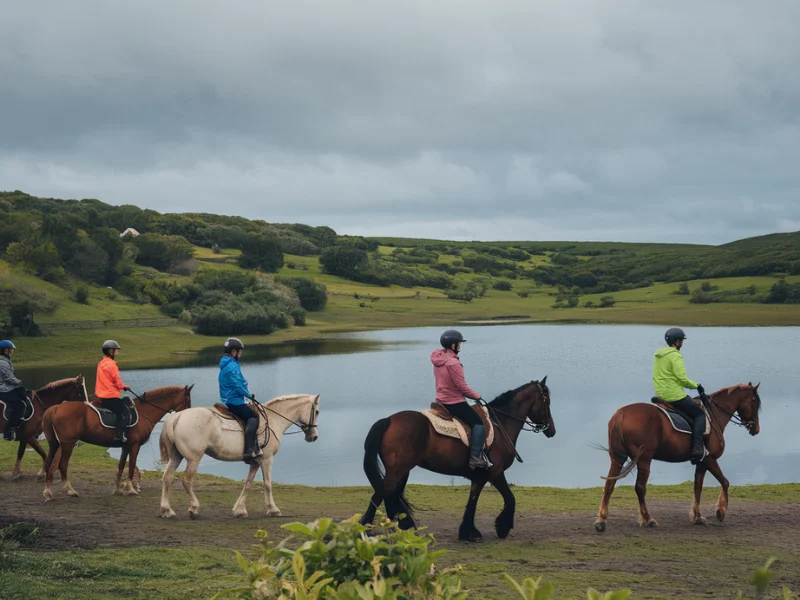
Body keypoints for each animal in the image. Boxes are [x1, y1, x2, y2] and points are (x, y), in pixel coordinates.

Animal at [41, 384, 194, 502]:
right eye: (187, 399)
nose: (188, 416)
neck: (143, 412)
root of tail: (55, 408)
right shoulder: (134, 446)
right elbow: (131, 466)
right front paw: (131, 489)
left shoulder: (125, 447)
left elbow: (121, 466)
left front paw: (117, 489)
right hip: (68, 444)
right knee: (62, 465)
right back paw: (70, 490)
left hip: (55, 444)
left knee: (48, 464)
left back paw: (48, 493)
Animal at [156, 394, 318, 520]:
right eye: (316, 411)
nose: (314, 437)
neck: (272, 420)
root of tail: (177, 417)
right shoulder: (267, 460)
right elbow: (267, 484)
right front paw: (273, 509)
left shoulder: (255, 462)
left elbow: (248, 484)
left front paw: (240, 510)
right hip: (193, 459)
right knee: (187, 481)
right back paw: (194, 509)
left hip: (177, 456)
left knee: (167, 478)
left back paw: (166, 510)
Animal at [358, 378, 552, 540]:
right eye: (546, 401)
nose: (551, 429)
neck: (500, 425)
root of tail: (388, 420)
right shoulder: (495, 473)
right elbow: (510, 498)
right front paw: (502, 528)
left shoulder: (480, 477)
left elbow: (472, 502)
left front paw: (468, 532)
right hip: (398, 470)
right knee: (381, 494)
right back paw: (366, 529)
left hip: (402, 470)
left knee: (391, 494)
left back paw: (401, 526)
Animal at [592, 382, 764, 532]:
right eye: (755, 401)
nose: (756, 429)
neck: (713, 414)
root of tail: (620, 413)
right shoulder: (710, 459)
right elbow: (725, 482)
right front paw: (720, 511)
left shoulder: (701, 462)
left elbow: (698, 487)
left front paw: (697, 516)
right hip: (644, 459)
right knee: (640, 488)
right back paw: (648, 519)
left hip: (618, 458)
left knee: (609, 485)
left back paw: (601, 520)